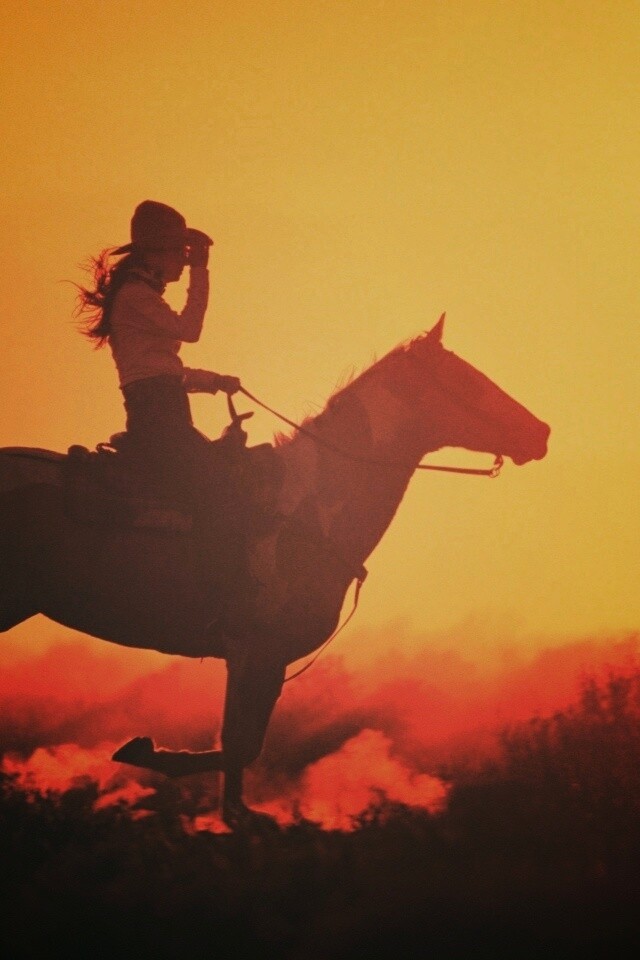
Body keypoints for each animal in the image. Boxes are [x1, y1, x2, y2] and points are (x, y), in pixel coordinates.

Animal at [0, 315, 550, 828]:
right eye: (468, 381)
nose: (540, 433)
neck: (307, 512)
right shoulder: (257, 650)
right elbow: (240, 745)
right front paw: (157, 761)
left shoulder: (255, 658)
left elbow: (240, 746)